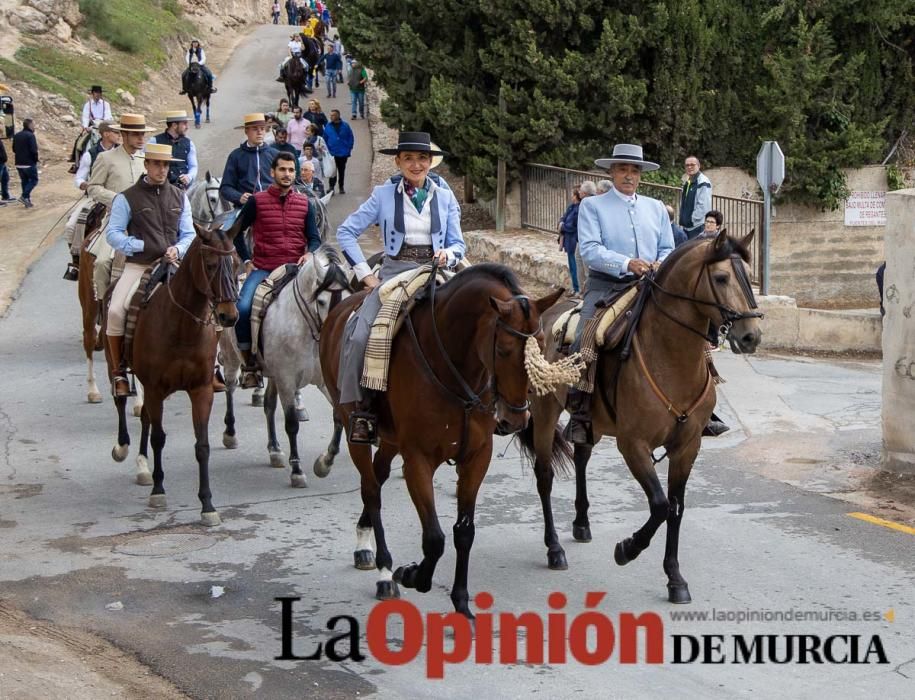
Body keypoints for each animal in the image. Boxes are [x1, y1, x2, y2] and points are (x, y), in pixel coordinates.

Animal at [107, 221, 240, 524]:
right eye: (211, 264)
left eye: (236, 263)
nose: (229, 316)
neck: (181, 327)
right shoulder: (155, 388)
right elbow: (159, 438)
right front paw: (158, 491)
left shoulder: (200, 390)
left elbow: (202, 446)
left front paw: (207, 505)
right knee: (121, 399)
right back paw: (123, 448)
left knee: (145, 417)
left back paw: (142, 465)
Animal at [218, 243, 354, 484]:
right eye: (321, 301)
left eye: (348, 296)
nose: (336, 331)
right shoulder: (287, 380)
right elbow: (292, 424)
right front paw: (297, 470)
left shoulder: (324, 381)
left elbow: (338, 416)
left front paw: (324, 463)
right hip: (232, 358)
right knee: (230, 389)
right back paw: (230, 434)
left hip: (273, 375)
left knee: (269, 406)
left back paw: (274, 450)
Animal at [318, 264, 568, 616]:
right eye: (503, 350)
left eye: (542, 343)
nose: (516, 419)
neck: (452, 365)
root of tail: (339, 312)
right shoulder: (417, 461)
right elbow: (434, 539)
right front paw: (411, 574)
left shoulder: (476, 457)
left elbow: (464, 532)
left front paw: (461, 603)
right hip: (356, 431)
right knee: (371, 491)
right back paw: (384, 571)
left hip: (391, 442)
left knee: (378, 478)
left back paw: (364, 542)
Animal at [520, 232, 764, 604]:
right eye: (722, 278)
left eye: (749, 276)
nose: (751, 336)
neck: (670, 356)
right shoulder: (633, 445)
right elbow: (660, 505)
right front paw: (627, 549)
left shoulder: (687, 447)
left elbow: (676, 507)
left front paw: (675, 579)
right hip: (546, 413)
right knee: (544, 476)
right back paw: (554, 549)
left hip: (589, 422)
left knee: (581, 456)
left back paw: (581, 523)